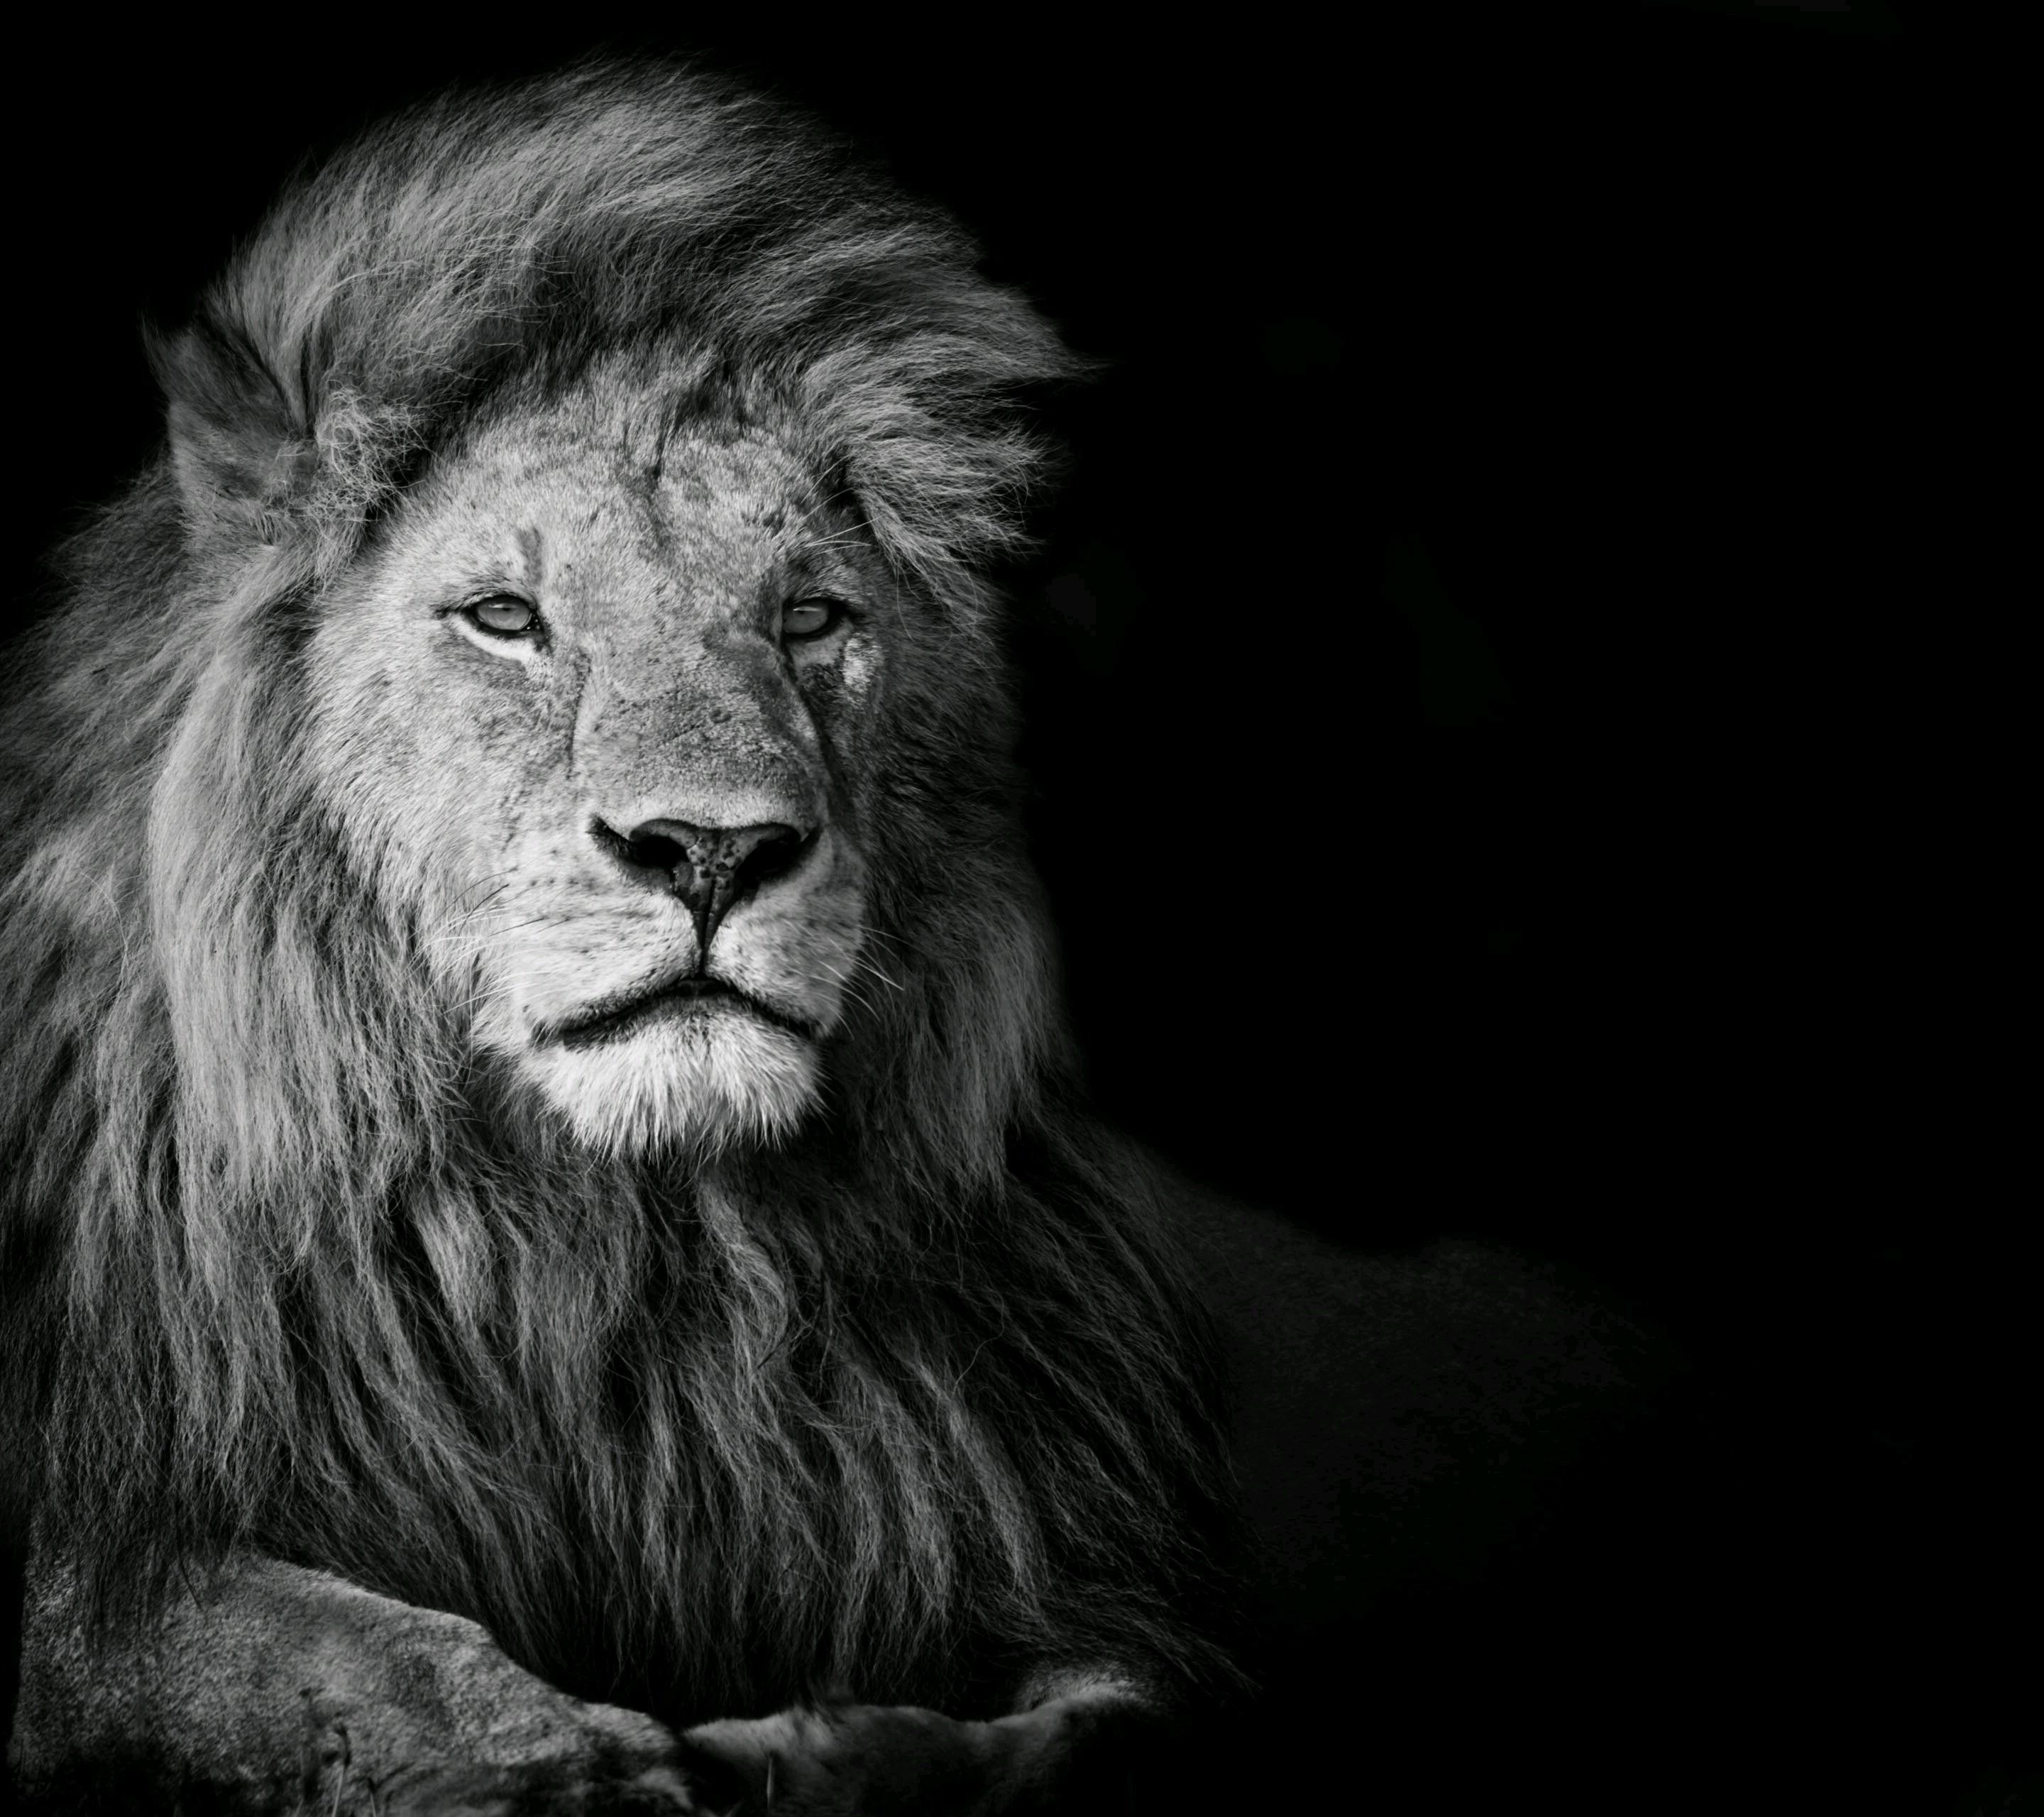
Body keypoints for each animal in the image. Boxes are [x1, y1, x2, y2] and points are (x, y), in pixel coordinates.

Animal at [0, 59, 1648, 1814]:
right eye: (505, 619)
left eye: (808, 619)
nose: (714, 849)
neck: (622, 1267)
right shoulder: (117, 1550)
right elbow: (292, 1642)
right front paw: (568, 1761)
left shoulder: (1081, 1554)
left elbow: (1105, 1724)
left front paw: (827, 1751)